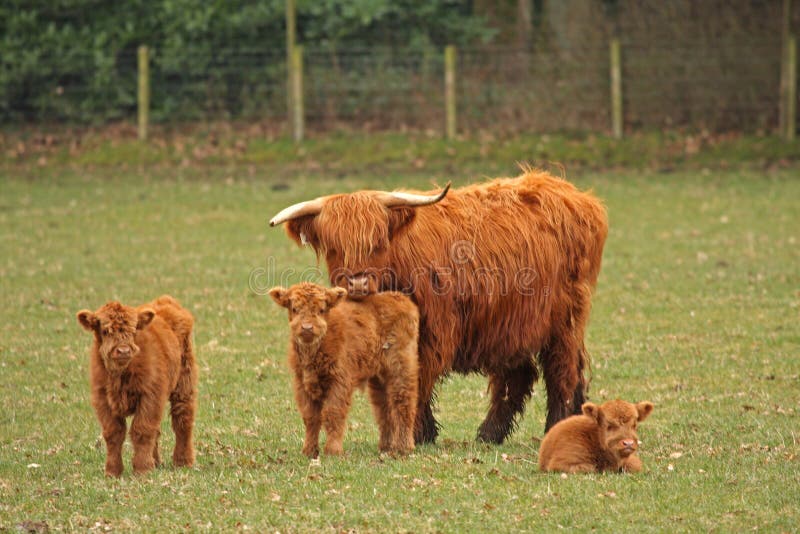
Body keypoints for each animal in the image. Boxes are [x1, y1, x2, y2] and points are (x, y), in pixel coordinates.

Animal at [76, 298, 198, 478]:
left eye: (133, 331)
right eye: (105, 331)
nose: (123, 350)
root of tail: (165, 300)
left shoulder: (150, 395)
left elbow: (142, 430)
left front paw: (143, 469)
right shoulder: (102, 399)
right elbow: (113, 433)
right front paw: (112, 471)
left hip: (184, 383)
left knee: (183, 420)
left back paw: (183, 461)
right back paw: (156, 462)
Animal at [268, 282, 418, 458]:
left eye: (321, 309)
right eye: (294, 308)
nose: (307, 327)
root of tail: (397, 296)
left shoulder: (340, 381)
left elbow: (333, 413)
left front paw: (333, 450)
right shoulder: (301, 383)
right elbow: (310, 417)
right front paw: (309, 450)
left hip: (401, 366)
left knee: (404, 401)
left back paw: (404, 447)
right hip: (379, 376)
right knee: (383, 408)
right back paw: (386, 447)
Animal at [272, 168, 608, 444]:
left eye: (378, 242)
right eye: (334, 247)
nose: (357, 283)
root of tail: (575, 195)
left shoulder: (432, 331)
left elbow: (417, 378)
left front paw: (417, 433)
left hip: (564, 320)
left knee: (562, 371)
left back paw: (554, 426)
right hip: (511, 324)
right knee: (522, 375)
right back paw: (491, 434)